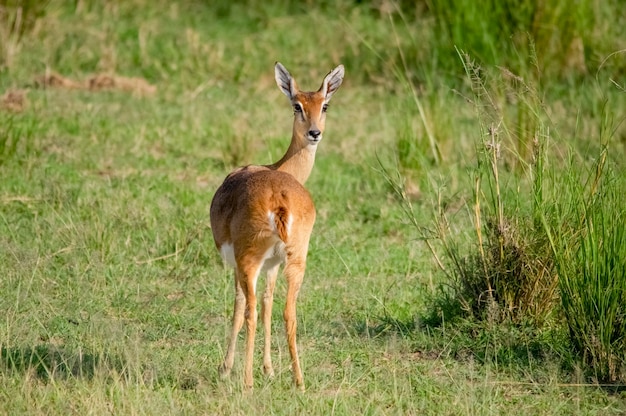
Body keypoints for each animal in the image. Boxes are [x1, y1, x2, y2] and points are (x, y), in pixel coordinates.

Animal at [212, 62, 344, 390]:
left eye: (324, 105)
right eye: (298, 105)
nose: (315, 132)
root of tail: (279, 198)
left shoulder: (240, 264)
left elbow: (240, 307)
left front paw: (226, 369)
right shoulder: (273, 264)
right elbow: (270, 304)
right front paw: (269, 369)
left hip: (249, 261)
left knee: (249, 311)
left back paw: (246, 383)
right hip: (297, 260)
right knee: (287, 312)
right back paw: (299, 381)